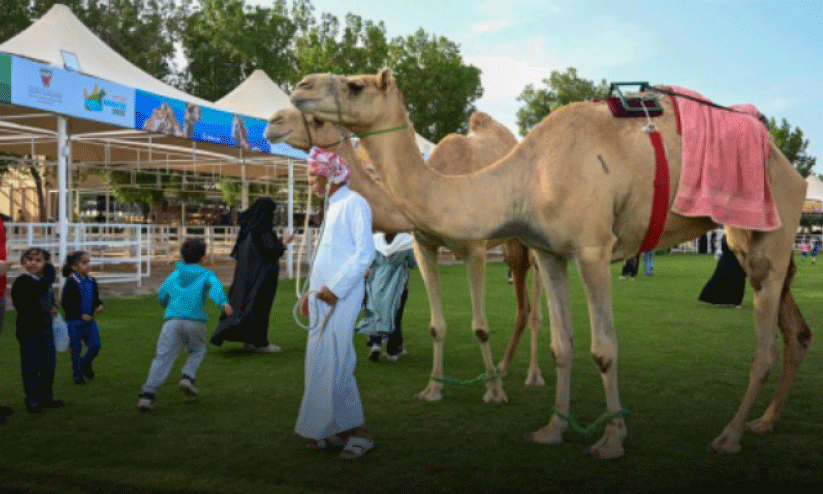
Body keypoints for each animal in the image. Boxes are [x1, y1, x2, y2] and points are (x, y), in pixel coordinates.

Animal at [264, 106, 548, 404]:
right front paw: (433, 388)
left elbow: (481, 327)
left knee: (536, 308)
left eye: (318, 119)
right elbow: (436, 326)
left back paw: (533, 375)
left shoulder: (475, 249)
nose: (274, 122)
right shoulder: (424, 246)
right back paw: (503, 367)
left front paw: (494, 392)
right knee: (523, 305)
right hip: (511, 245)